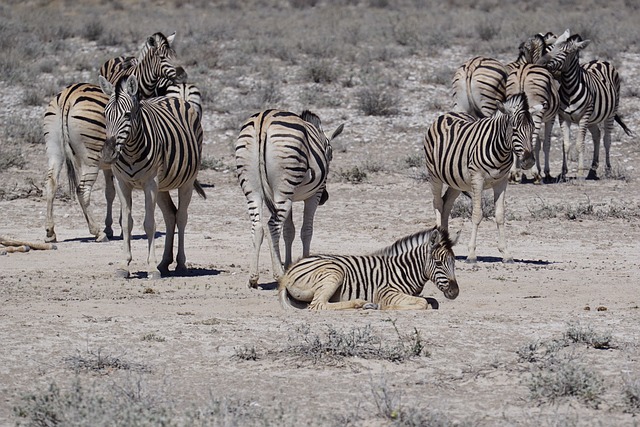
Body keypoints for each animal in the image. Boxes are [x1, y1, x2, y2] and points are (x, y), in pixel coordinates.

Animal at [99, 74, 202, 280]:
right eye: (105, 115)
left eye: (127, 115)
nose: (107, 155)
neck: (130, 150)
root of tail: (172, 98)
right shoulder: (122, 183)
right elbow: (127, 223)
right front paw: (124, 265)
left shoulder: (150, 183)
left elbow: (149, 224)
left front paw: (152, 267)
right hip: (162, 186)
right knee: (171, 216)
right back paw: (165, 263)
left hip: (185, 181)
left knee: (182, 216)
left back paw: (180, 264)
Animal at [235, 108, 344, 290]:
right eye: (330, 156)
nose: (326, 198)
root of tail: (263, 119)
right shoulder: (314, 195)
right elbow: (306, 230)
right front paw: (306, 265)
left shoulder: (289, 199)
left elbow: (289, 231)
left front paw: (288, 265)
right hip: (285, 186)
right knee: (272, 225)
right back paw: (278, 275)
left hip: (254, 189)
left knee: (258, 227)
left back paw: (253, 278)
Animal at [278, 227, 458, 310]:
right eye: (439, 263)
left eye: (454, 263)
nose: (455, 292)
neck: (405, 269)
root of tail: (287, 273)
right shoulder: (386, 292)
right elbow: (423, 303)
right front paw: (385, 307)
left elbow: (432, 301)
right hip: (334, 271)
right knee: (318, 305)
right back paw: (360, 303)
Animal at [424, 93, 540, 264]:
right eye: (514, 129)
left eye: (532, 129)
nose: (529, 161)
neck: (500, 150)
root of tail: (446, 114)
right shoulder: (477, 179)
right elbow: (477, 214)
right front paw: (471, 254)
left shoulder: (502, 182)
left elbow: (500, 215)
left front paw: (506, 253)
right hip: (434, 176)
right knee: (438, 203)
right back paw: (439, 245)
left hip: (457, 182)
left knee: (446, 204)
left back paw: (445, 245)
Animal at [536, 33, 632, 180]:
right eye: (553, 48)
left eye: (566, 52)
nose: (541, 63)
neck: (569, 88)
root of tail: (599, 60)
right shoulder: (563, 118)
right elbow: (566, 144)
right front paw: (563, 172)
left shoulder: (583, 117)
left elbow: (579, 143)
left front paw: (580, 171)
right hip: (592, 119)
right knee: (597, 135)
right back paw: (592, 169)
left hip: (610, 113)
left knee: (607, 140)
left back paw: (608, 169)